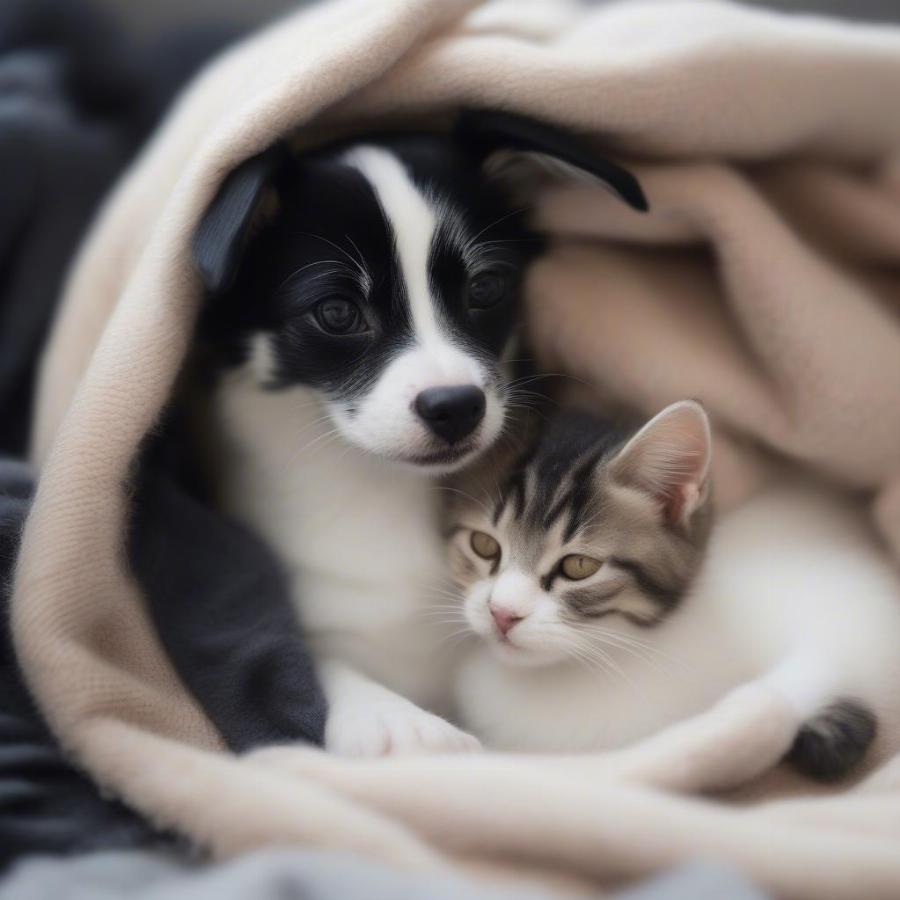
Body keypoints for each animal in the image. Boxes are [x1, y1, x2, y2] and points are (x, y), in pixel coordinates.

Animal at [195, 114, 648, 760]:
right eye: (337, 312)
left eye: (485, 287)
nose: (455, 407)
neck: (383, 489)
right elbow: (308, 664)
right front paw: (393, 722)